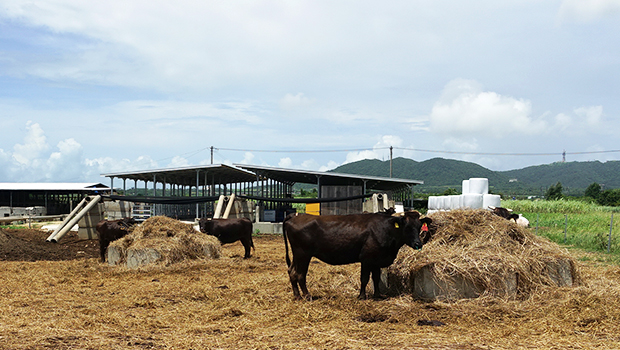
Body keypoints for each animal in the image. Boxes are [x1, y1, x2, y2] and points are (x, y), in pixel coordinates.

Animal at [282, 211, 432, 300]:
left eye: (419, 227)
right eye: (407, 227)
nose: (418, 243)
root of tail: (296, 215)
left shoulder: (376, 260)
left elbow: (376, 278)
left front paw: (377, 295)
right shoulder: (366, 259)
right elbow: (364, 278)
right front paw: (362, 296)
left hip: (297, 255)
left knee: (291, 271)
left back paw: (297, 296)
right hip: (303, 254)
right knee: (300, 274)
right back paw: (307, 296)